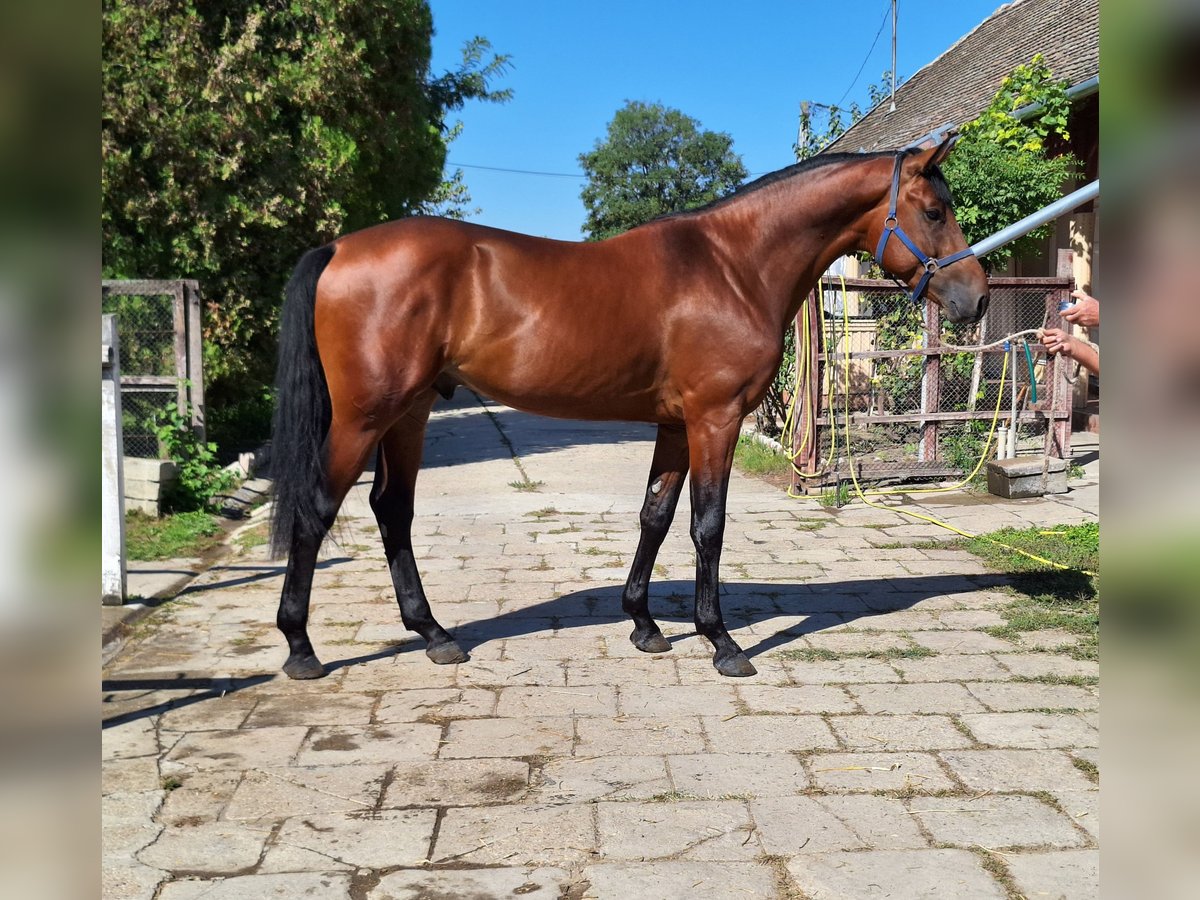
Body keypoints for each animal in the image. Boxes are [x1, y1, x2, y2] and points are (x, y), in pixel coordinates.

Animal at [265, 137, 984, 681]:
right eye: (934, 210)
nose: (975, 298)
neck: (733, 266)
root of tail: (339, 248)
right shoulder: (715, 418)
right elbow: (707, 525)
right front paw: (721, 641)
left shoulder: (676, 423)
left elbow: (655, 516)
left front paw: (643, 623)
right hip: (364, 417)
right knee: (318, 509)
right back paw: (301, 649)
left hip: (409, 412)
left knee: (392, 509)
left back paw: (434, 634)